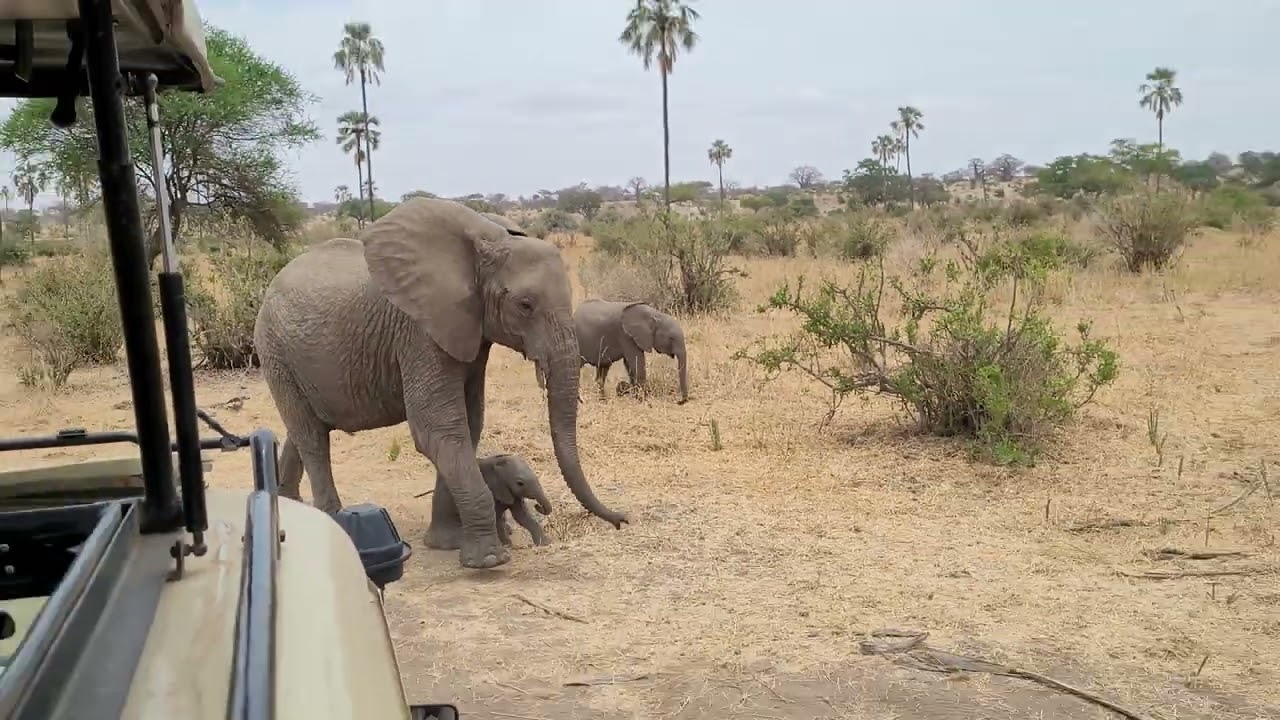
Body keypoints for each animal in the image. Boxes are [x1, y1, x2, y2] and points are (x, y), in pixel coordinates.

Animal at [253, 198, 628, 570]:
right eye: (525, 305)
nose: (622, 520)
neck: (488, 237)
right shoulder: (418, 331)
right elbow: (438, 429)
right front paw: (488, 560)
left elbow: (469, 424)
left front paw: (446, 544)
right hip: (274, 351)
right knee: (312, 438)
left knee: (303, 429)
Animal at [537, 299, 688, 403]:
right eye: (671, 338)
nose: (681, 401)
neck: (654, 314)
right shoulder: (626, 336)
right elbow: (637, 363)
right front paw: (643, 398)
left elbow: (630, 365)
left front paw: (634, 394)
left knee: (602, 372)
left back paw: (602, 400)